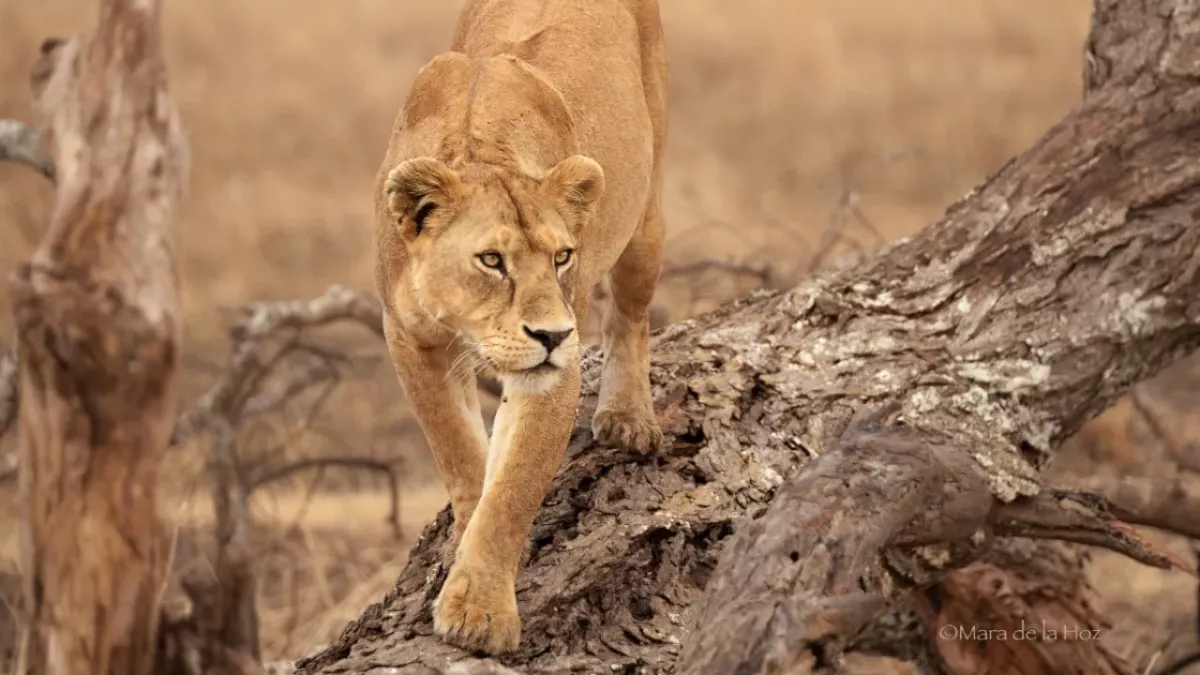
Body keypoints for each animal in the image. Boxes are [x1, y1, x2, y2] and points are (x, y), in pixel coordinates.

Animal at [372, 0, 669, 656]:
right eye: (492, 261)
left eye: (561, 257)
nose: (552, 335)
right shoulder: (410, 339)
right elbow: (461, 456)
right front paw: (464, 537)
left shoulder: (554, 369)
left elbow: (514, 487)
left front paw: (478, 613)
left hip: (646, 209)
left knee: (631, 316)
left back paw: (628, 418)